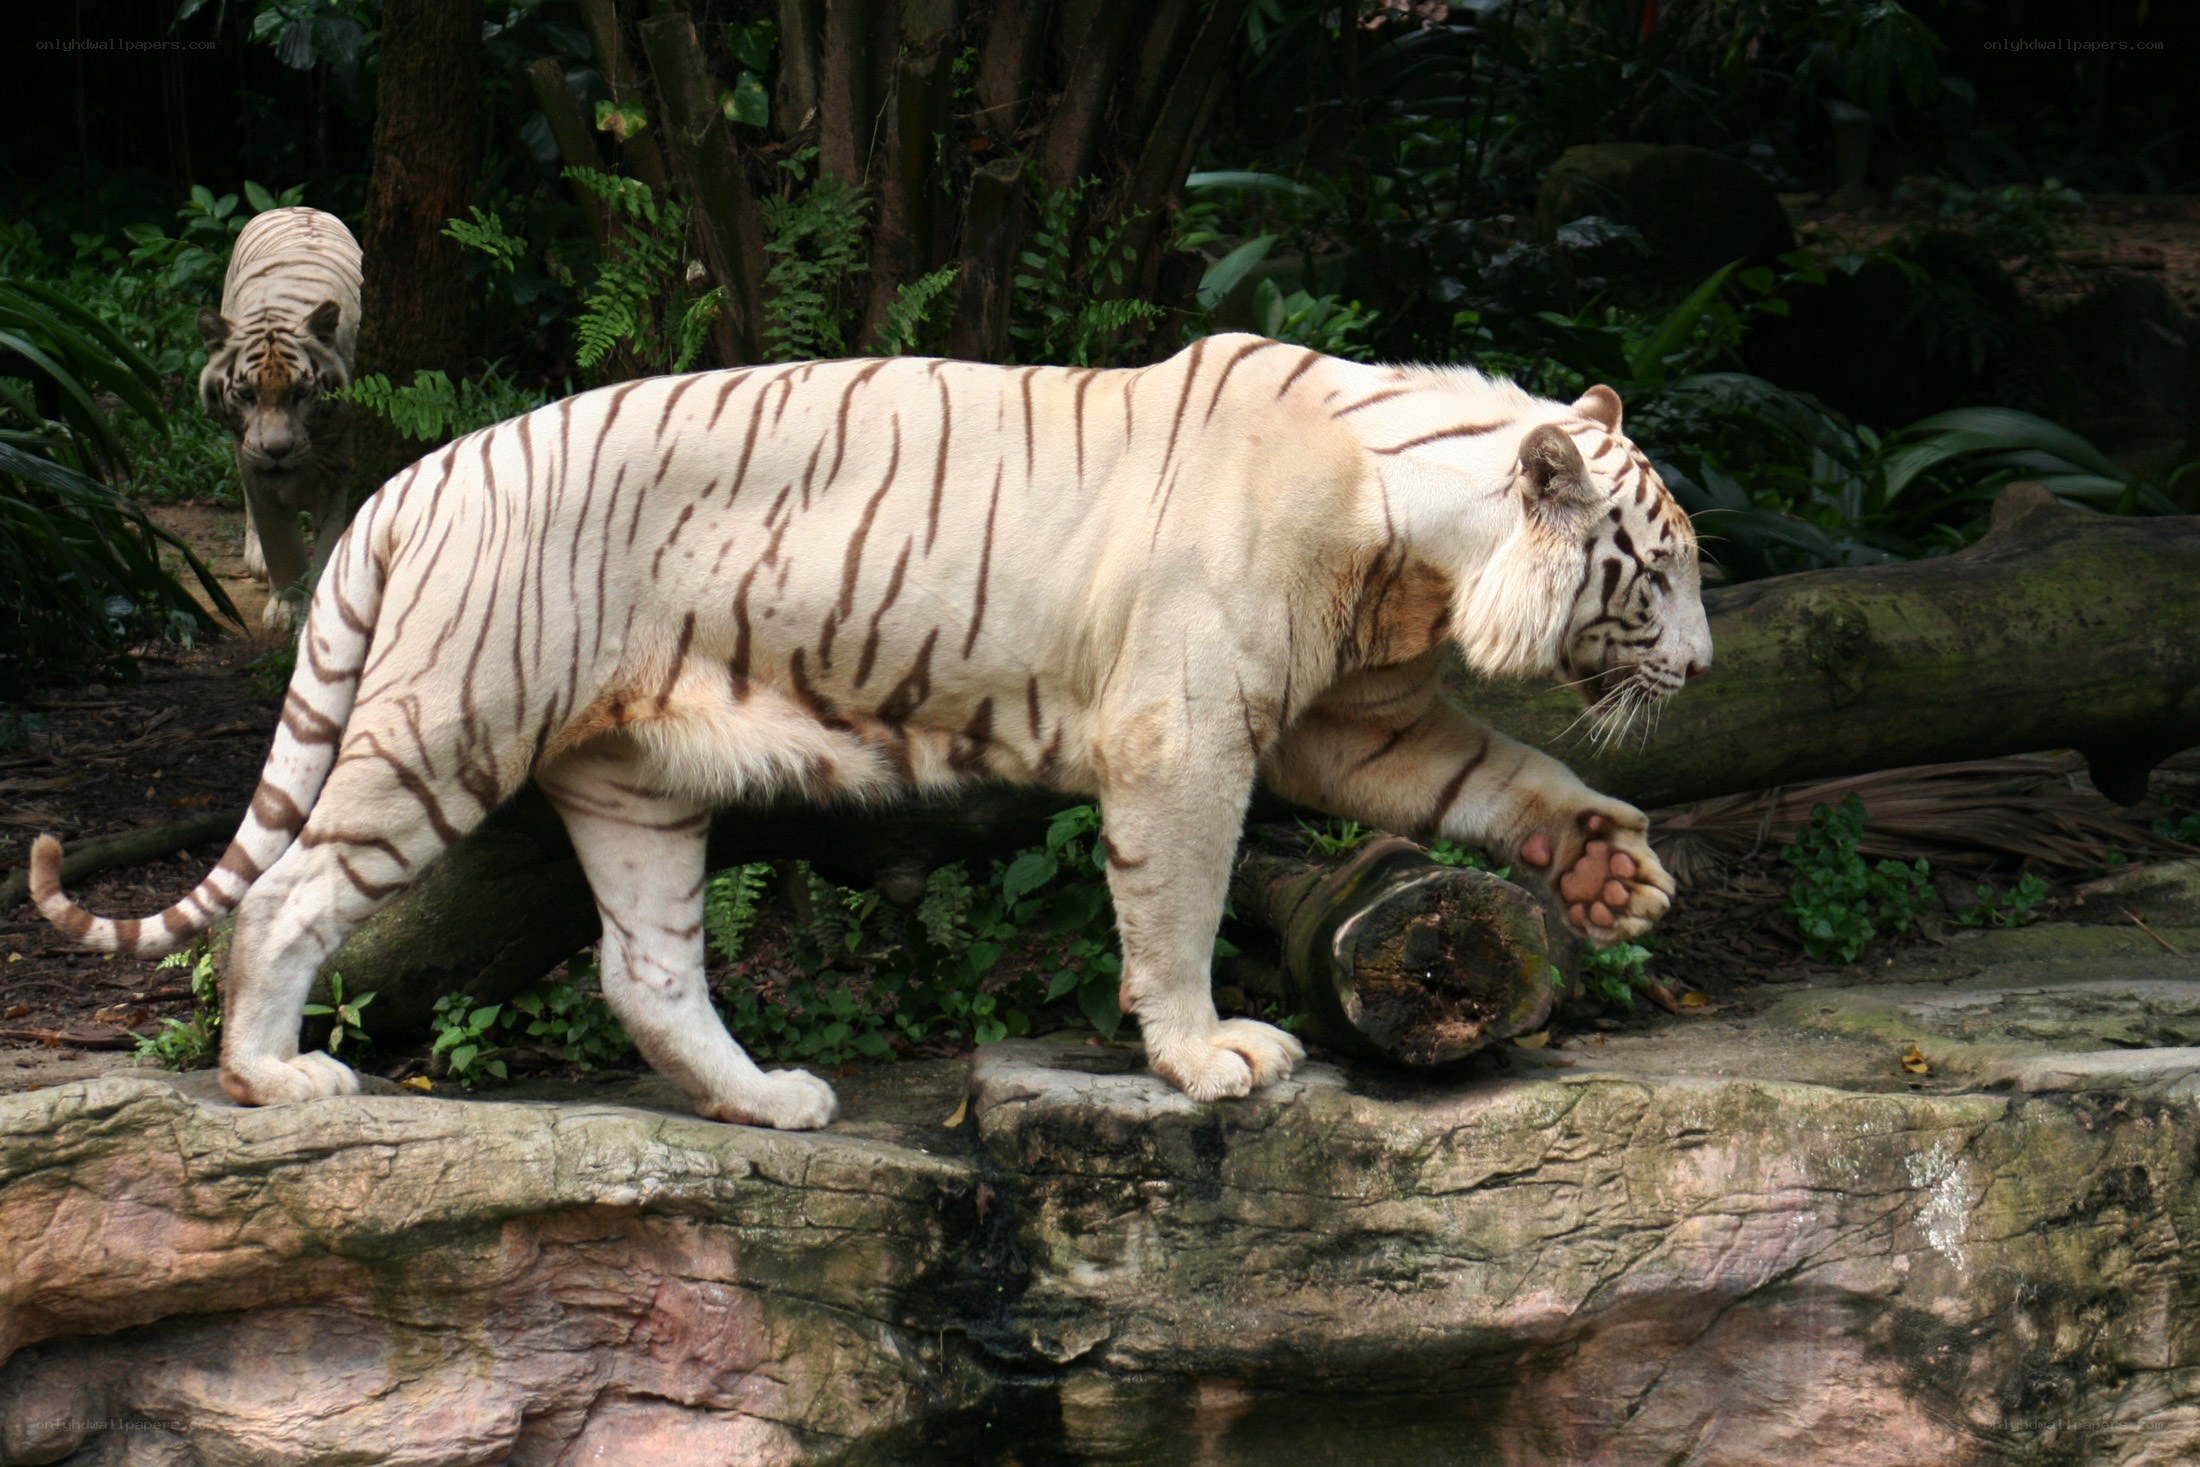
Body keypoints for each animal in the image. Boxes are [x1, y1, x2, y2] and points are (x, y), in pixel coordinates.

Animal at [32, 335, 1710, 1129]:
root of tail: (411, 476)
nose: (1698, 668)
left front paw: (1610, 867)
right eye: (1661, 566)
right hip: (446, 725)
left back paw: (767, 1099)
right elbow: (1177, 903)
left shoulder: (1352, 718)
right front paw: (1203, 1054)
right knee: (285, 894)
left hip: (632, 784)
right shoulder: (1188, 731)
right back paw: (273, 1079)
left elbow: (1499, 767)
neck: (1413, 551)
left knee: (646, 970)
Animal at [196, 205, 364, 632]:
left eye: (301, 393)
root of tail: (297, 207)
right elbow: (279, 539)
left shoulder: (341, 465)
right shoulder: (254, 467)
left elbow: (331, 541)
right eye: (246, 394)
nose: (277, 451)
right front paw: (286, 610)